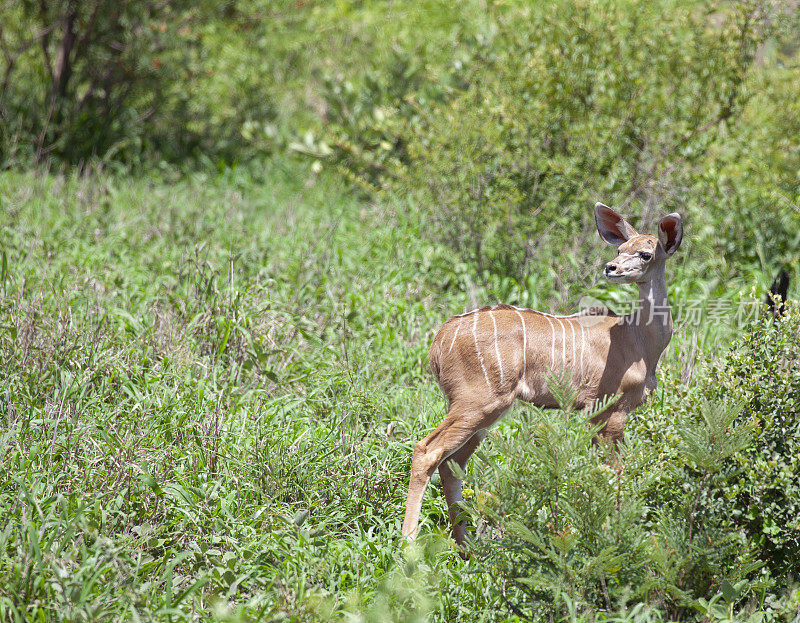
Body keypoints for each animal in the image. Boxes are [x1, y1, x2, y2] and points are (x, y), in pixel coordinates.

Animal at [404, 202, 684, 544]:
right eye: (620, 249)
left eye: (645, 253)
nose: (611, 268)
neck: (638, 340)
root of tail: (439, 342)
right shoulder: (611, 409)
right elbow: (613, 472)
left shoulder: (594, 415)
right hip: (478, 401)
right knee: (427, 450)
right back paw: (409, 544)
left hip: (484, 410)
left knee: (452, 462)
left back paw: (466, 547)